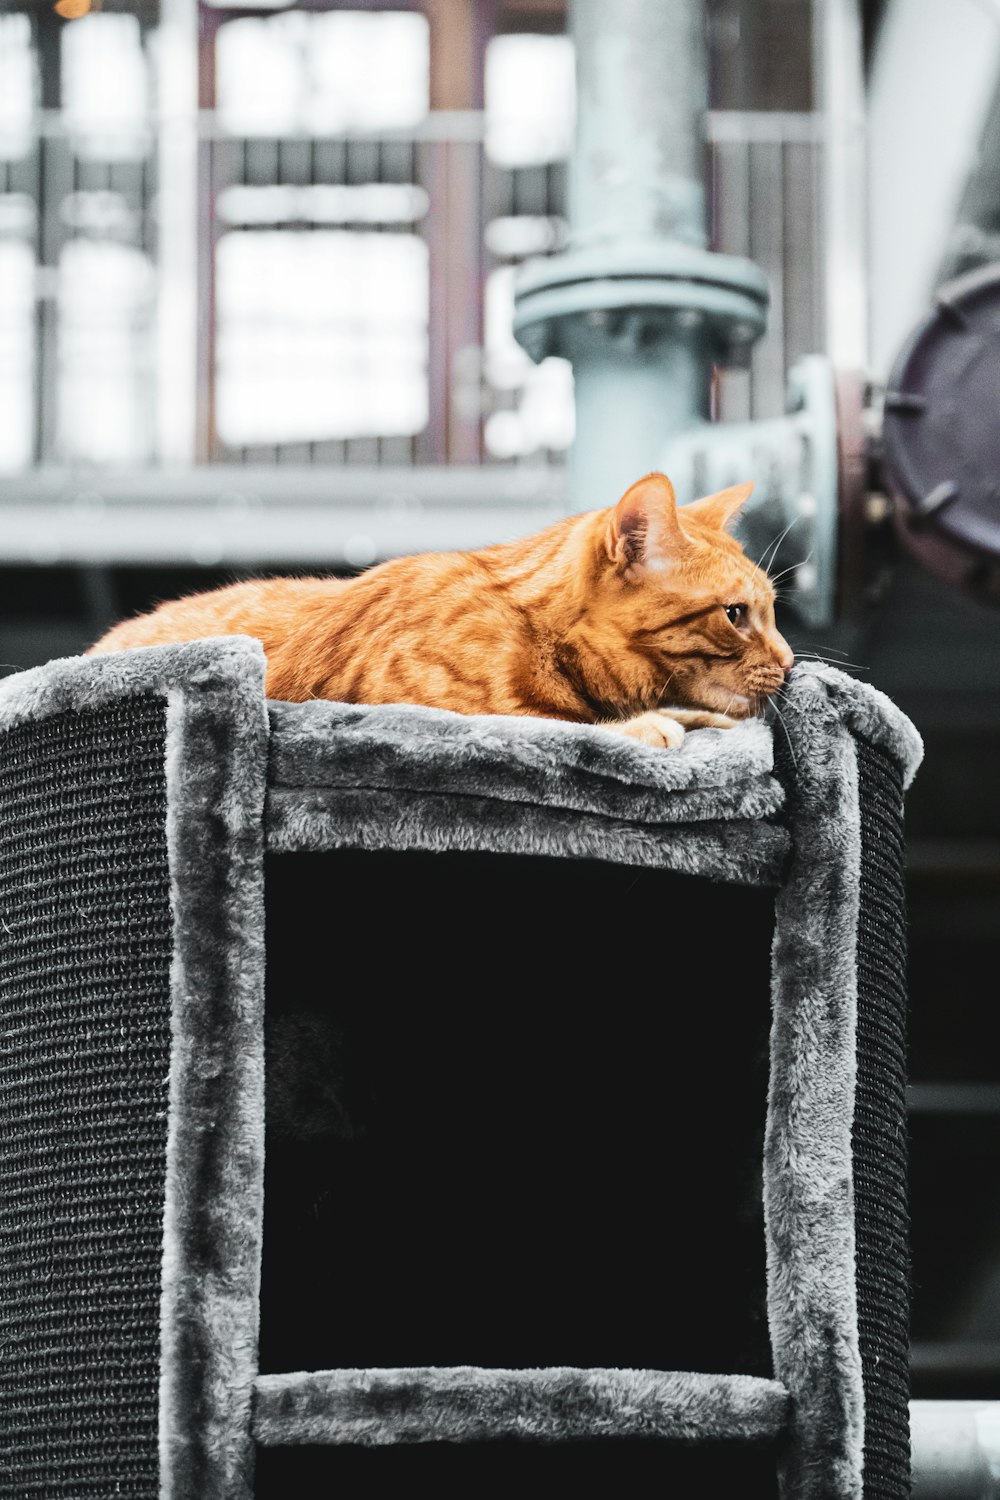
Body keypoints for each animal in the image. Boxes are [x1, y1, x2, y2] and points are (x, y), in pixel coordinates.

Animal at [88, 471, 791, 747]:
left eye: (774, 613)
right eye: (736, 616)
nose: (790, 662)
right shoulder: (424, 705)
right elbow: (553, 722)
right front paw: (643, 724)